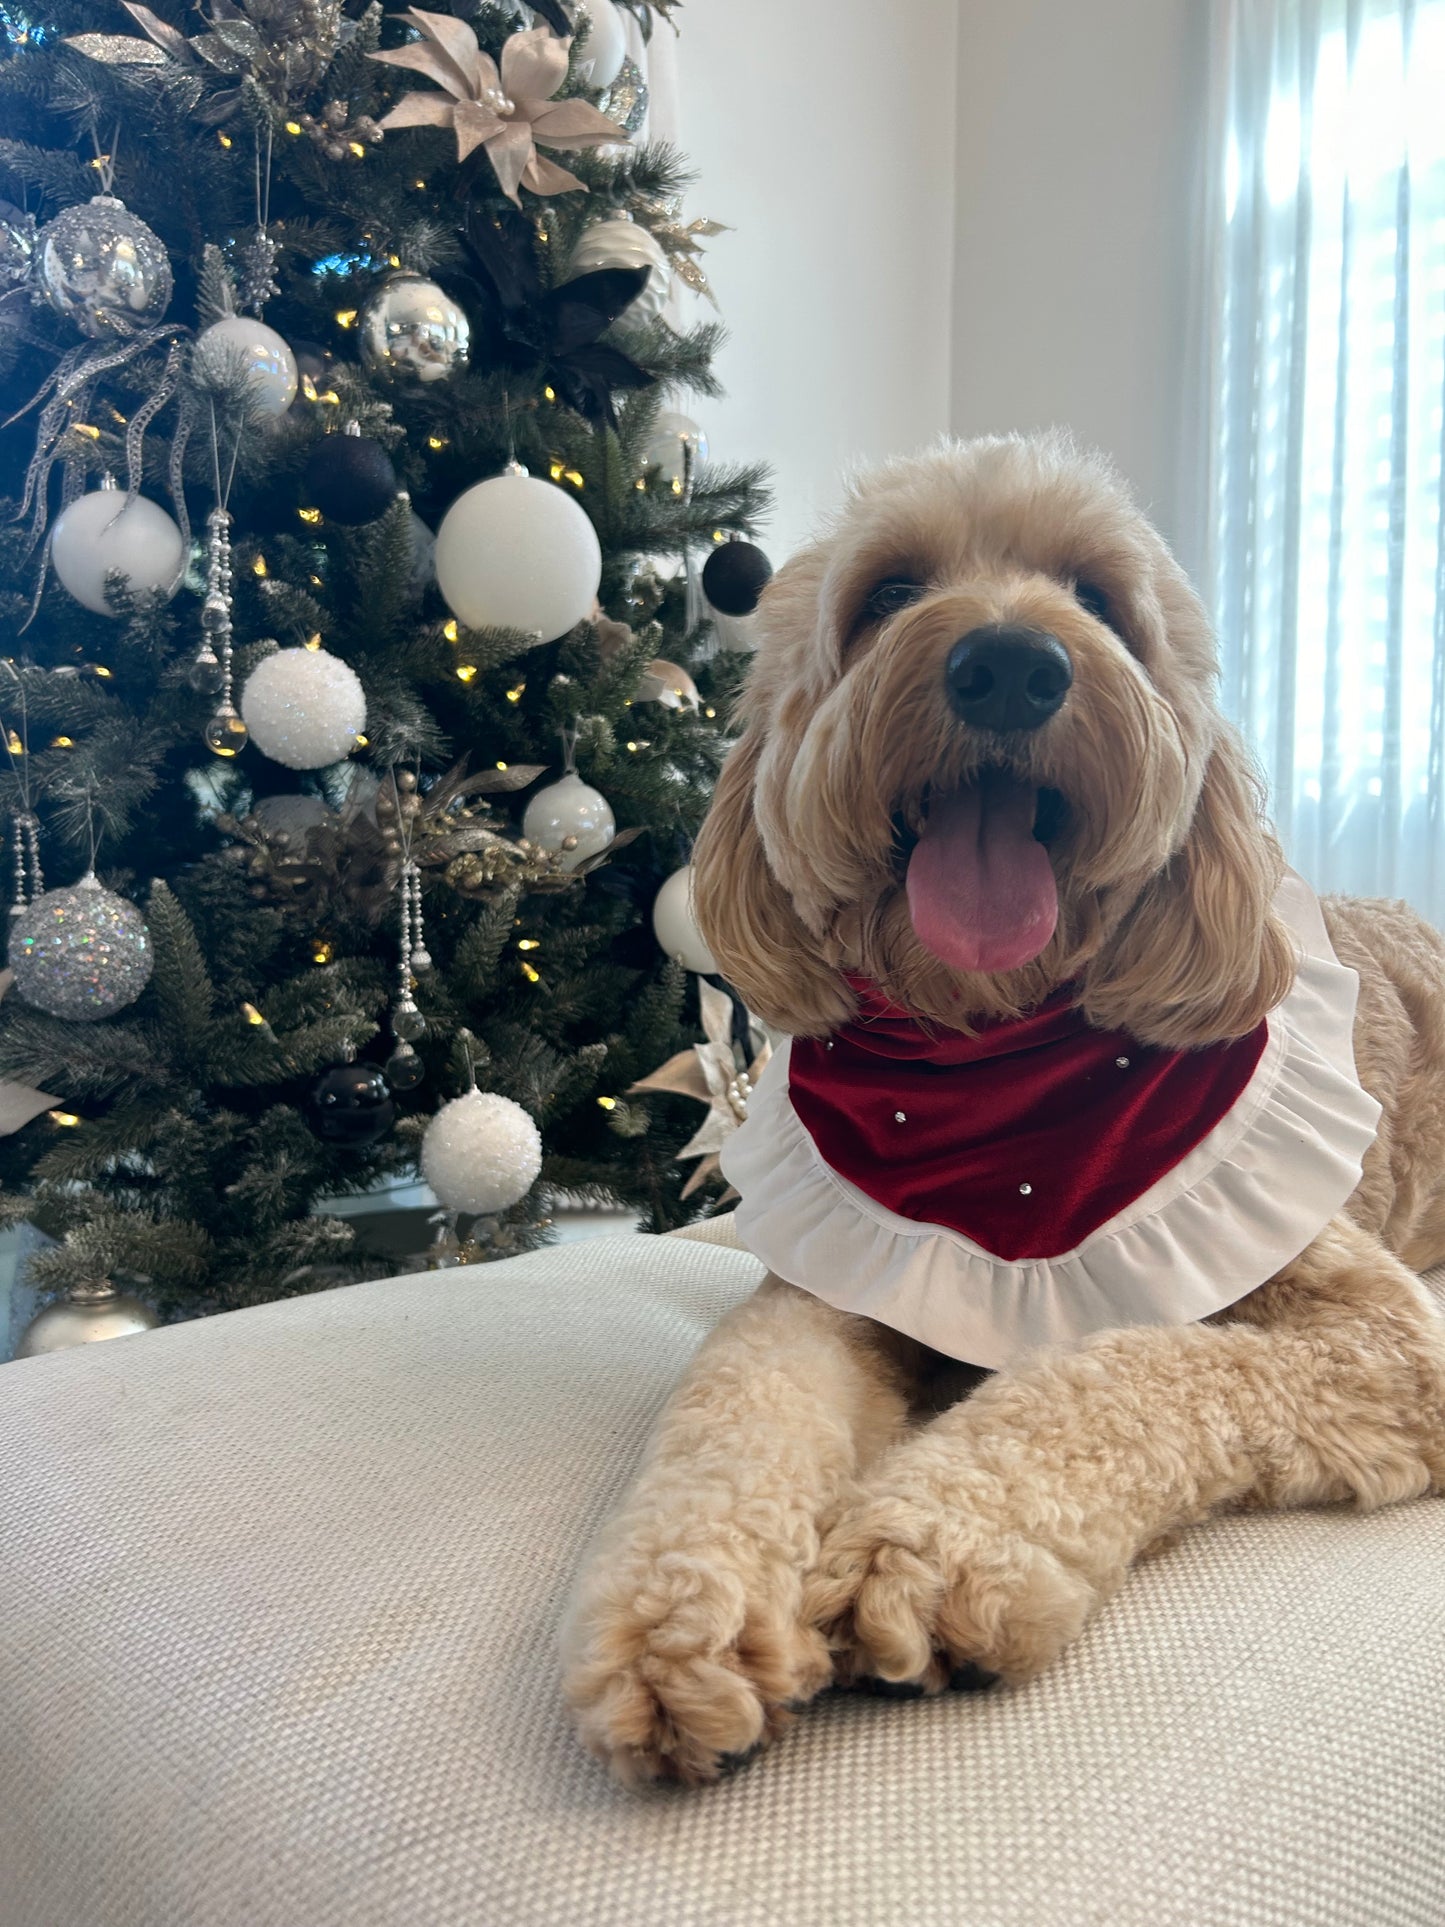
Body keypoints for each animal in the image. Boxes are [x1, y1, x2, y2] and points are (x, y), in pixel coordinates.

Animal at [558, 437, 1445, 1788]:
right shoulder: (828, 1285)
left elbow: (1138, 1365)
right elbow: (733, 1406)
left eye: (1097, 600)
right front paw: (675, 1613)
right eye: (885, 593)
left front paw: (922, 1545)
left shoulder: (1387, 1344)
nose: (1012, 666)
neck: (995, 1053)